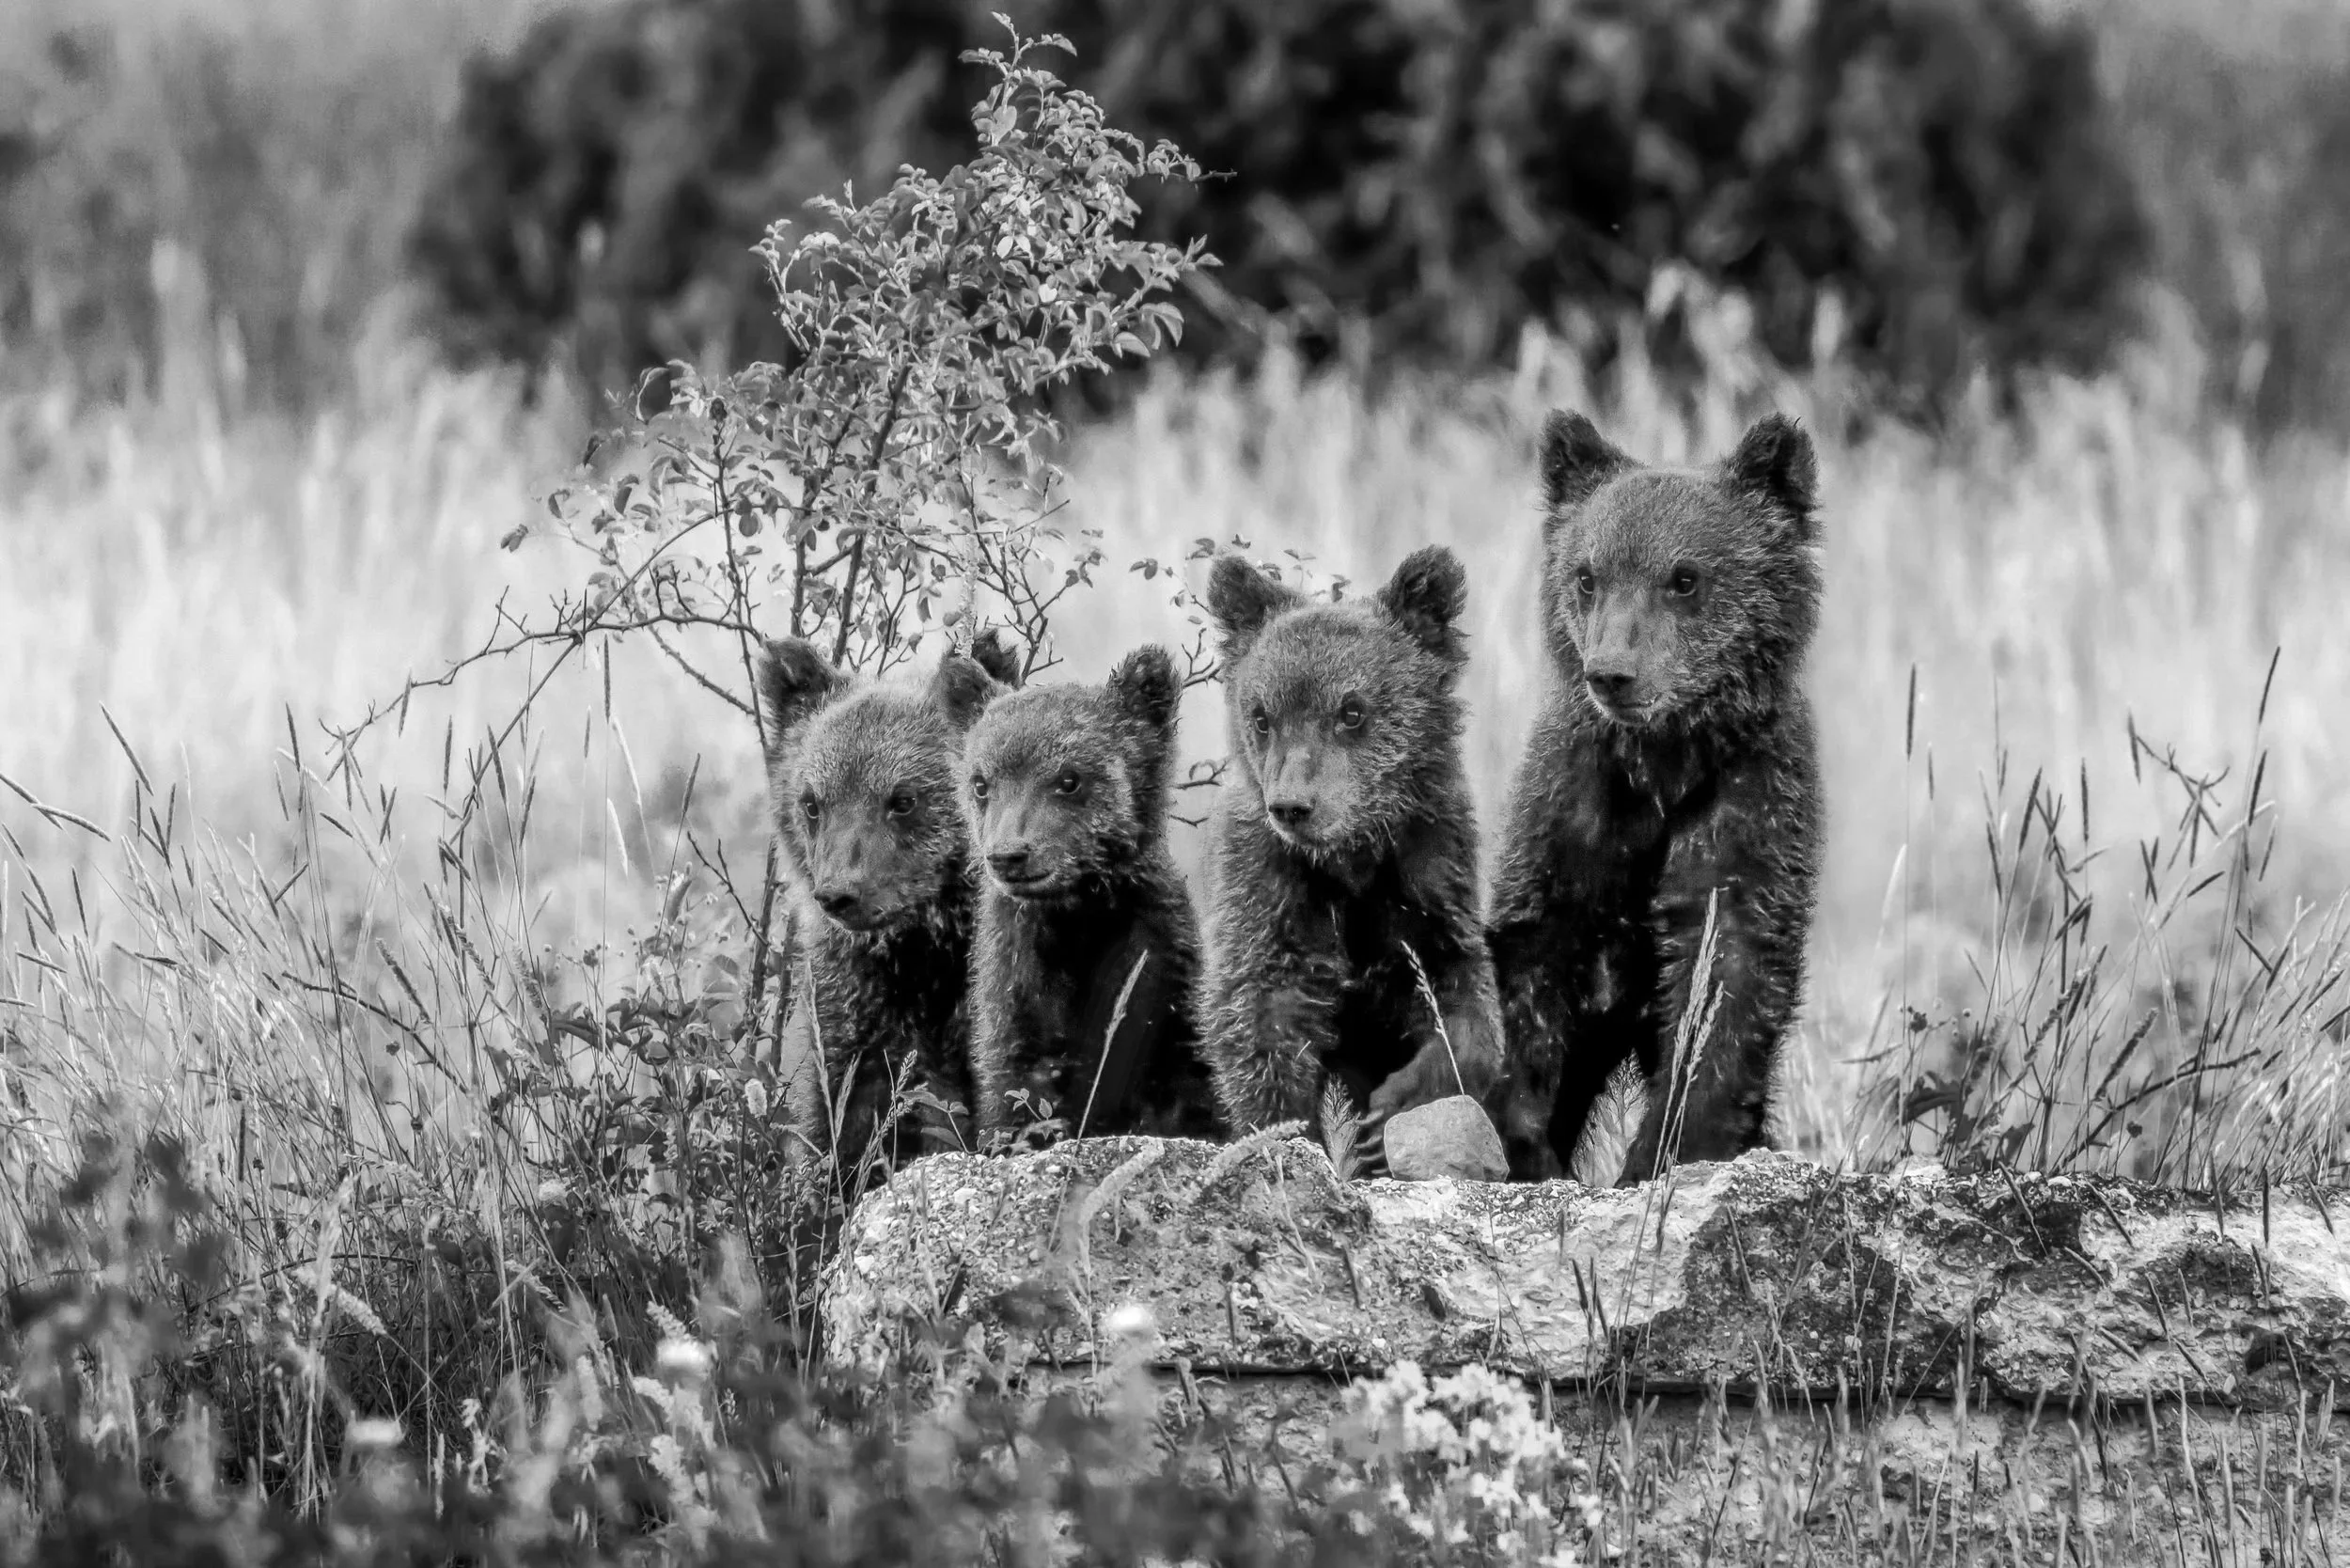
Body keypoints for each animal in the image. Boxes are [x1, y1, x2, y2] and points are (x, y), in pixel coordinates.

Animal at [958, 643, 1223, 1147]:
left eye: (1069, 778)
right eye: (981, 783)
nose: (1009, 855)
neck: (1079, 919)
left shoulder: (1159, 973)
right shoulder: (1018, 982)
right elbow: (1015, 1079)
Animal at [1195, 545, 1505, 1145]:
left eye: (1352, 711)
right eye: (1262, 716)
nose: (1293, 806)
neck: (1351, 859)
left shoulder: (1431, 874)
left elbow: (1466, 1008)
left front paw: (1390, 1104)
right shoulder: (1271, 888)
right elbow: (1260, 1014)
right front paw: (1293, 1128)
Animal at [1483, 409, 1825, 1187]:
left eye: (1685, 577)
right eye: (1587, 575)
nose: (1613, 672)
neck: (1663, 768)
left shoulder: (1746, 805)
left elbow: (1722, 978)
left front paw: (1666, 1151)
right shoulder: (1575, 807)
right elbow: (1540, 971)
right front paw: (1530, 1144)